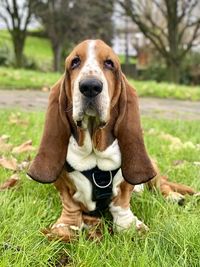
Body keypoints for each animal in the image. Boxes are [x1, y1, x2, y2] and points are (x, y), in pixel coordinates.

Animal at [27, 40, 198, 243]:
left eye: (110, 64)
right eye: (75, 62)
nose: (90, 86)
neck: (94, 152)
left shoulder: (124, 187)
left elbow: (121, 202)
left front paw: (129, 225)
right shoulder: (63, 183)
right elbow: (70, 204)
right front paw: (66, 226)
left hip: (153, 168)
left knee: (161, 184)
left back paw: (173, 196)